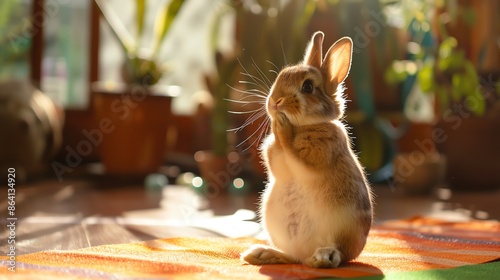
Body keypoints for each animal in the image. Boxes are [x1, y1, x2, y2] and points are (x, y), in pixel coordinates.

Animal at [240, 31, 374, 268]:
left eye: (308, 87)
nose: (275, 102)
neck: (304, 126)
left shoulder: (315, 159)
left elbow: (296, 157)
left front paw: (281, 127)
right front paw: (277, 127)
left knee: (334, 255)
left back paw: (323, 257)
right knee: (294, 258)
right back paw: (259, 254)